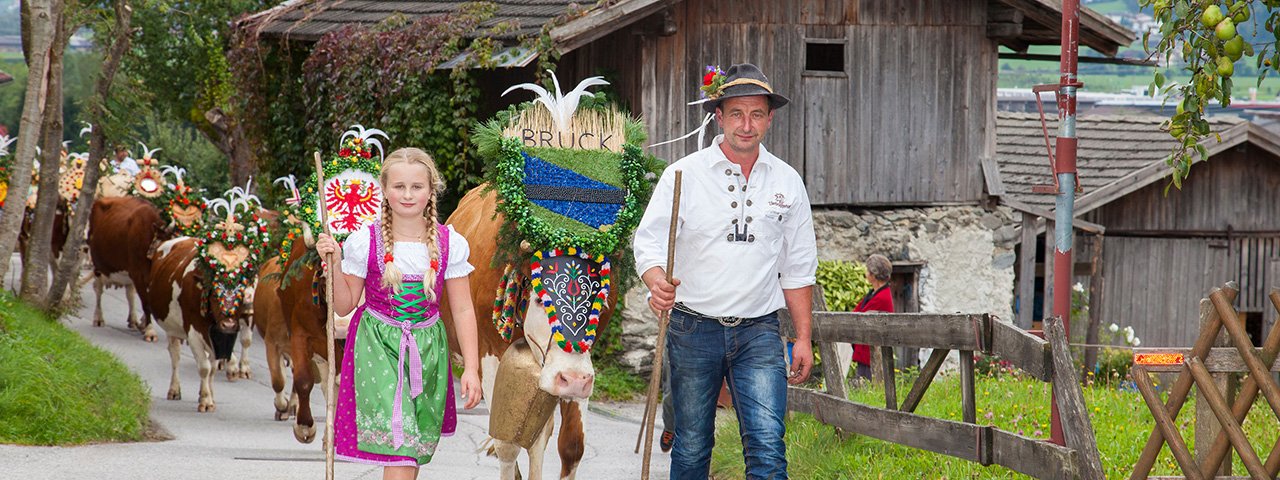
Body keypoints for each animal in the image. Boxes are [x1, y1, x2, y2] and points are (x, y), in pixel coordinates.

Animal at [87, 195, 160, 343]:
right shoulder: (138, 273)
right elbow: (146, 303)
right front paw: (150, 330)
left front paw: (143, 324)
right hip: (98, 265)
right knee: (98, 289)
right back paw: (98, 318)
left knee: (129, 293)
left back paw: (133, 320)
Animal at [146, 239, 253, 412]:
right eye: (214, 294)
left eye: (241, 294)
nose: (228, 325)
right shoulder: (194, 333)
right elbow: (204, 368)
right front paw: (206, 400)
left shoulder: (216, 338)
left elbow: (213, 369)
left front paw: (209, 396)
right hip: (172, 328)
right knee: (175, 356)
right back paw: (174, 390)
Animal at [442, 186, 616, 480]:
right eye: (540, 300)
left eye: (600, 304)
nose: (574, 379)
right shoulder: (490, 356)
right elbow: (507, 444)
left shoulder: (576, 369)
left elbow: (570, 445)